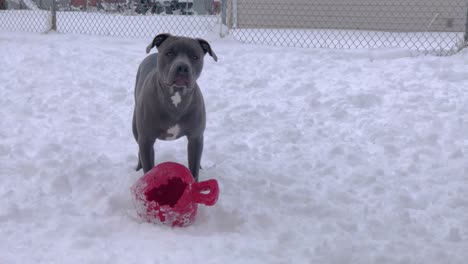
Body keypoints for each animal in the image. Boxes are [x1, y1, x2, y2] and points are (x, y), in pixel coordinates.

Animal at [132, 33, 218, 182]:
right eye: (169, 53)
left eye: (195, 56)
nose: (182, 67)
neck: (176, 97)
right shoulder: (146, 140)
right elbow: (148, 168)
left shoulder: (196, 137)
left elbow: (194, 168)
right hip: (136, 128)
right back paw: (138, 167)